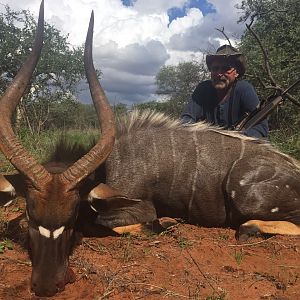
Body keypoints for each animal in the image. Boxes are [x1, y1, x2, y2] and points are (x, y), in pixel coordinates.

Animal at [0, 0, 300, 298]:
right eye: (31, 215)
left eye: (72, 216)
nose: (46, 285)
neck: (108, 168)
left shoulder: (139, 209)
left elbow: (108, 222)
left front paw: (166, 223)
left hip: (247, 197)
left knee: (258, 224)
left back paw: (247, 228)